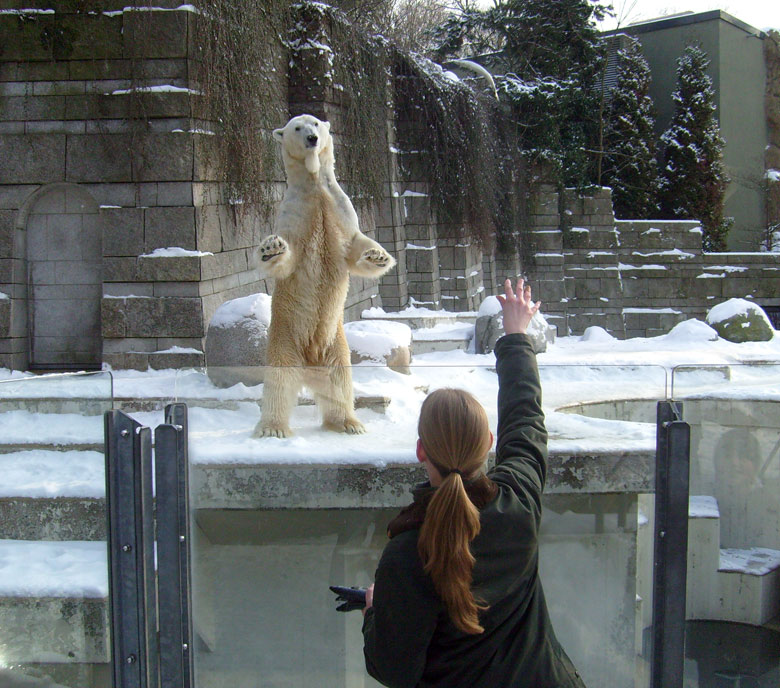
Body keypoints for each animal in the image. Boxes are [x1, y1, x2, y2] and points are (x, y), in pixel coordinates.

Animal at [253, 112, 394, 436]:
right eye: (296, 127)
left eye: (315, 124)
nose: (312, 139)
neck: (314, 185)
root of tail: (309, 365)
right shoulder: (295, 214)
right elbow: (289, 257)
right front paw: (271, 248)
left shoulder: (339, 208)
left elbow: (355, 245)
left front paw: (378, 255)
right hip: (284, 341)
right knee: (278, 384)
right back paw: (273, 428)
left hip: (336, 345)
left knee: (339, 382)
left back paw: (349, 423)